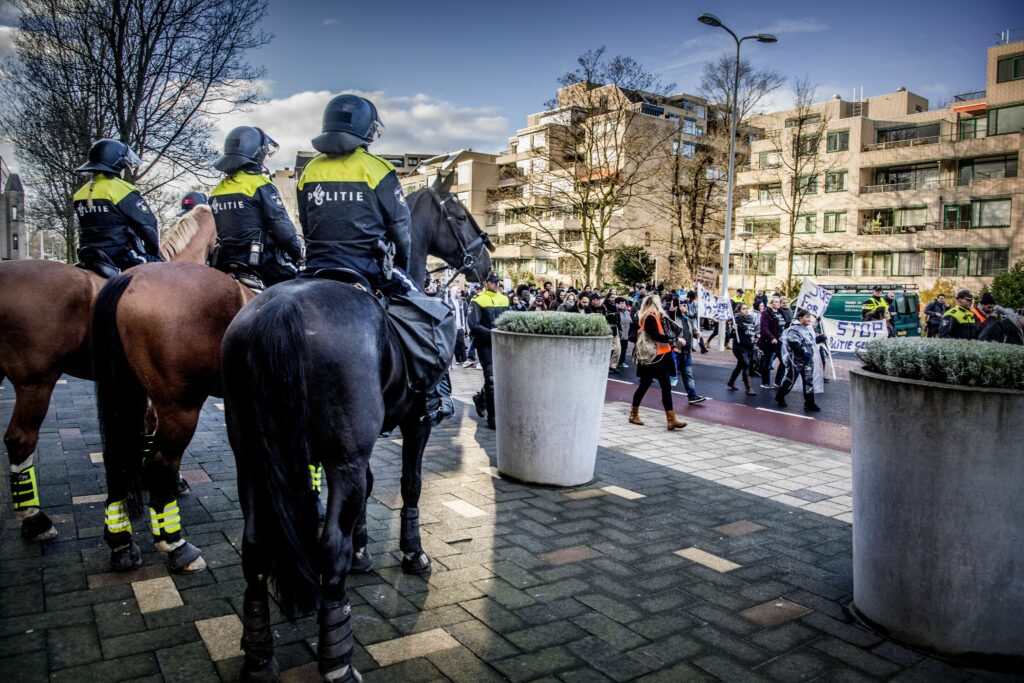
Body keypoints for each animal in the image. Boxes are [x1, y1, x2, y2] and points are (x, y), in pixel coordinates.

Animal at [223, 188, 491, 683]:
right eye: (460, 216)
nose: (488, 261)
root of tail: (279, 309)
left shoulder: (353, 450)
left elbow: (366, 489)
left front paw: (364, 549)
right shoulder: (412, 424)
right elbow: (410, 485)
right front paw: (412, 553)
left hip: (250, 456)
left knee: (255, 547)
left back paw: (259, 658)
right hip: (337, 455)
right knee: (329, 549)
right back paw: (337, 659)